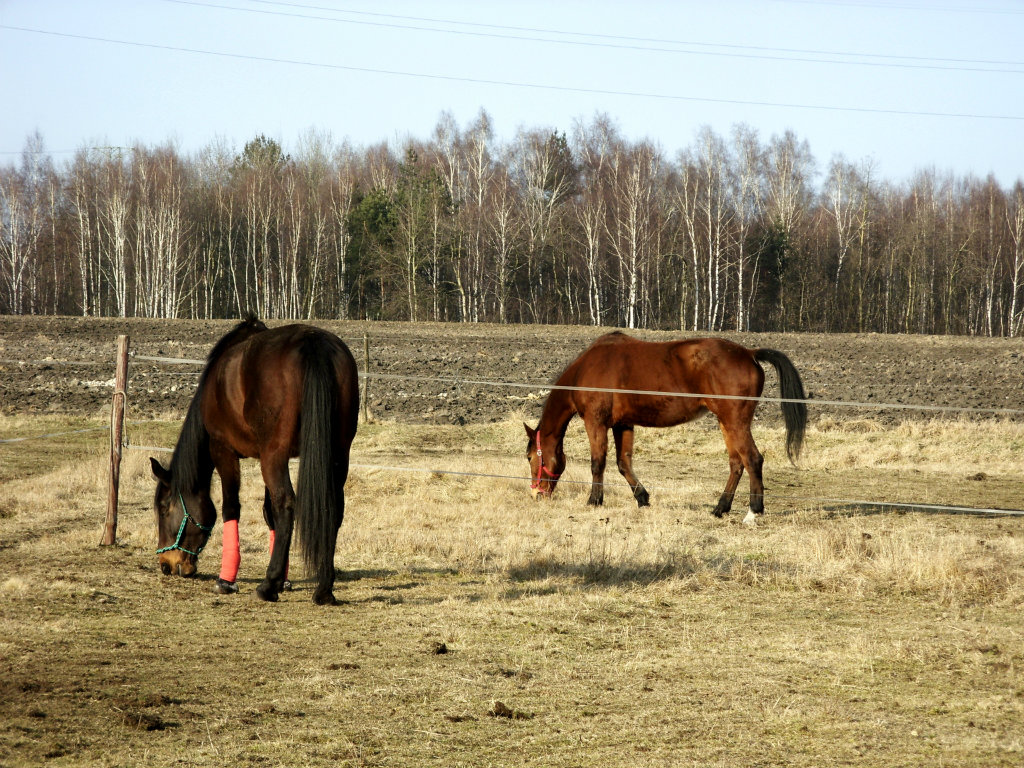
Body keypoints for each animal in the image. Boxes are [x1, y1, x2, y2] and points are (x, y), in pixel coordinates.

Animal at [151, 315, 360, 606]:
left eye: (163, 508)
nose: (166, 564)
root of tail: (312, 342)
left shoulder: (223, 450)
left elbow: (231, 508)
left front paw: (227, 580)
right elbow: (269, 513)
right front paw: (284, 579)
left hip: (274, 455)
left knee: (286, 504)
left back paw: (267, 587)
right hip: (338, 453)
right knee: (333, 509)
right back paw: (324, 589)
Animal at [528, 331, 806, 524]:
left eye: (530, 457)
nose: (537, 495)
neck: (586, 370)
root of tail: (749, 353)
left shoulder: (596, 422)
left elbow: (598, 463)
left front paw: (594, 500)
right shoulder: (623, 424)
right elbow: (623, 463)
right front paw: (642, 498)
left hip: (735, 422)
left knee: (753, 459)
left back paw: (753, 512)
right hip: (726, 423)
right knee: (736, 464)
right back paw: (720, 508)